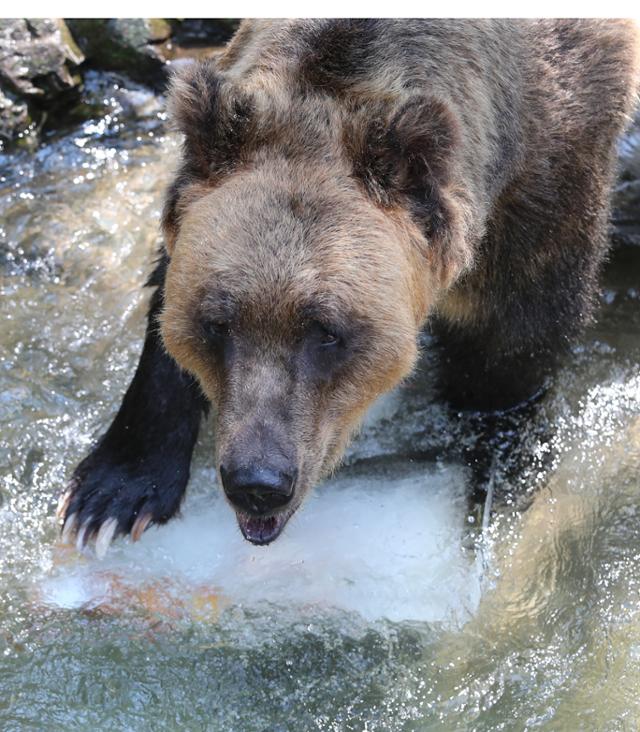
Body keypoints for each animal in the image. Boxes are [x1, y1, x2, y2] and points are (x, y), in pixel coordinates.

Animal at [58, 20, 640, 552]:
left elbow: (512, 347)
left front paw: (491, 463)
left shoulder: (544, 184)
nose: (257, 483)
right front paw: (110, 496)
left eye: (327, 331)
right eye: (217, 323)